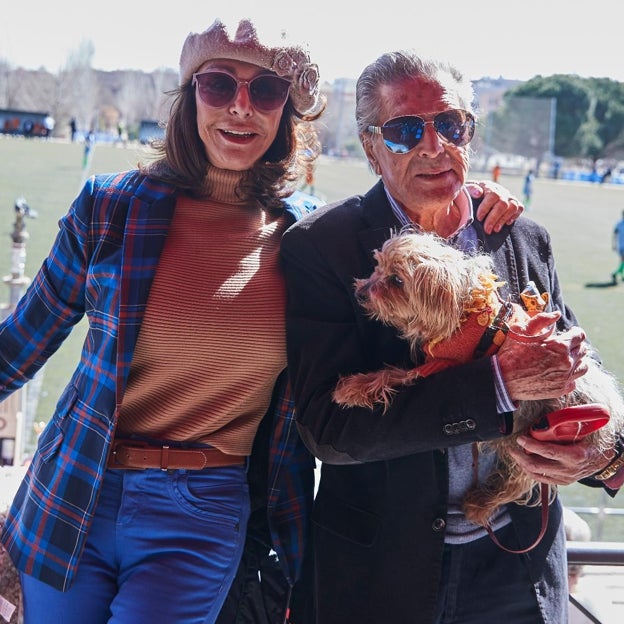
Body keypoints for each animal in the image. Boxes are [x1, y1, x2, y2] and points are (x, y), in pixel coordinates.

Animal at [334, 228, 624, 528]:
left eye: (397, 280)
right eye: (378, 266)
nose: (360, 292)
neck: (463, 310)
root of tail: (611, 417)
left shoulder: (440, 365)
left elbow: (395, 374)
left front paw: (353, 387)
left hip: (538, 438)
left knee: (520, 480)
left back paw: (480, 504)